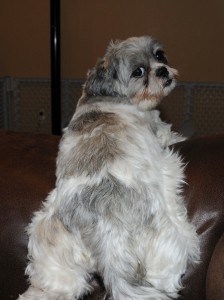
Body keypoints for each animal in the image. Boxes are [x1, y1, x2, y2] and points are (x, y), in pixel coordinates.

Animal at [18, 36, 200, 298]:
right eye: (138, 72)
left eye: (159, 56)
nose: (163, 70)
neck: (104, 96)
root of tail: (107, 233)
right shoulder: (156, 126)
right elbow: (166, 133)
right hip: (165, 236)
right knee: (164, 276)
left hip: (50, 252)